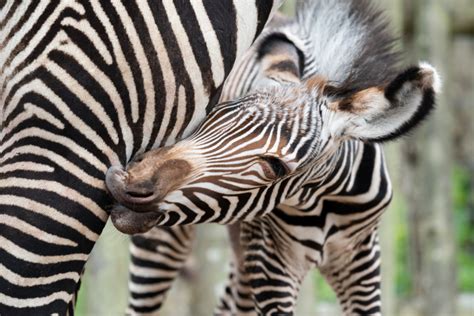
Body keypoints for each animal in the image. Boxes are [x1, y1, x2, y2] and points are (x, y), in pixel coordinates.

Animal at [108, 1, 440, 314]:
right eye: (209, 119)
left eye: (276, 167)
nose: (126, 181)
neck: (323, 201)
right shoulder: (270, 262)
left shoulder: (362, 261)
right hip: (167, 243)